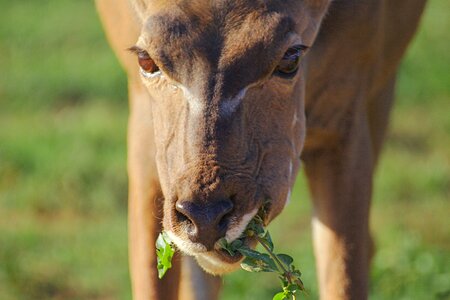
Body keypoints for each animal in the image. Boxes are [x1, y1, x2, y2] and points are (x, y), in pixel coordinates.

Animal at [95, 1, 426, 298]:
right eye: (146, 60)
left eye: (290, 59)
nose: (205, 219)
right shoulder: (144, 128)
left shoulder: (344, 119)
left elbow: (344, 278)